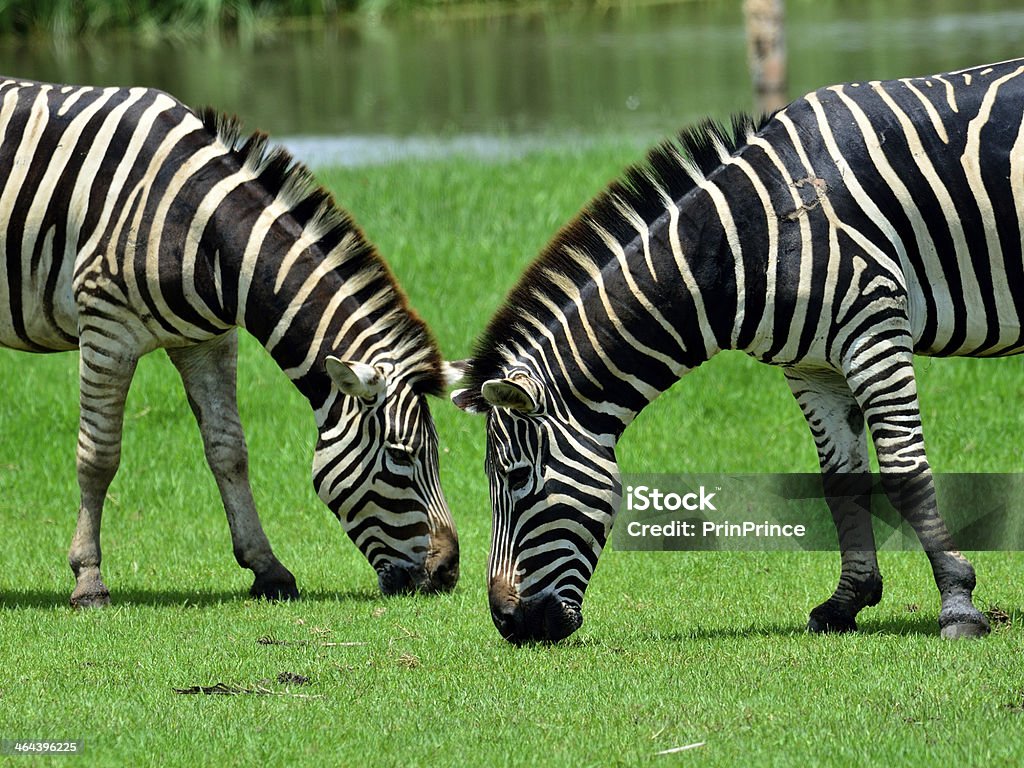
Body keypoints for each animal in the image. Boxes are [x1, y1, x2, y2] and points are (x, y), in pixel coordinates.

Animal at [0, 76, 458, 606]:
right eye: (402, 456)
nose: (448, 573)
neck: (200, 228)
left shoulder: (208, 341)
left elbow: (229, 450)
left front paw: (268, 569)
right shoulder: (105, 328)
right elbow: (99, 457)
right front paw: (89, 579)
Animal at [454, 58, 1024, 643]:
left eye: (517, 479)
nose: (507, 623)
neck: (752, 236)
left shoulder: (874, 327)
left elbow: (906, 473)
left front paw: (958, 604)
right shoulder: (812, 366)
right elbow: (839, 481)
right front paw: (846, 602)